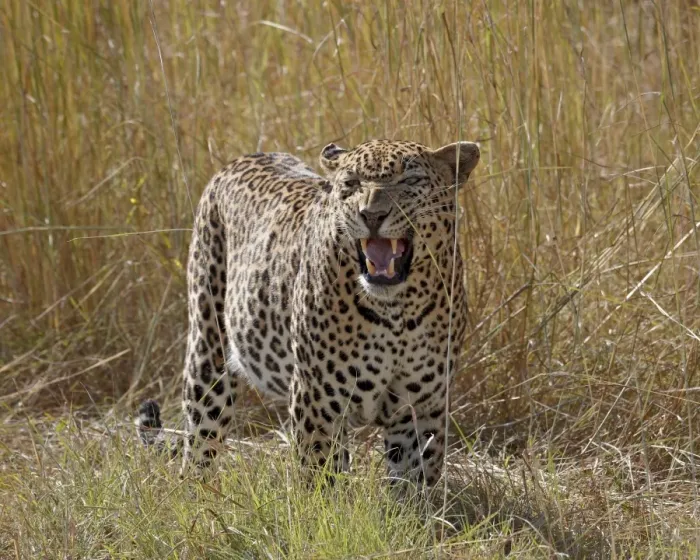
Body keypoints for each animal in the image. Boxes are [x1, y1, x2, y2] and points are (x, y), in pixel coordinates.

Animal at [138, 139, 480, 487]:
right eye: (351, 184)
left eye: (410, 181)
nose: (372, 215)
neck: (395, 309)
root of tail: (246, 157)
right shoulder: (316, 401)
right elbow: (321, 478)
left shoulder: (421, 409)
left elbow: (414, 483)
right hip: (207, 353)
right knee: (199, 444)